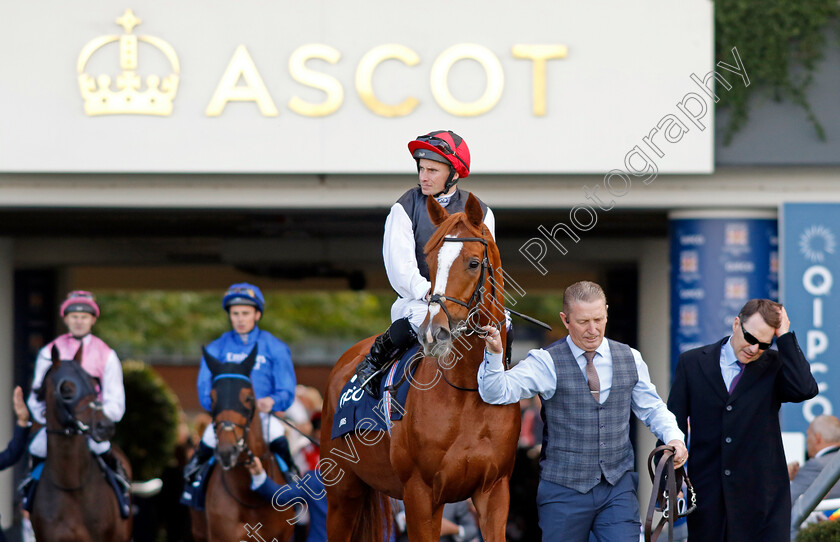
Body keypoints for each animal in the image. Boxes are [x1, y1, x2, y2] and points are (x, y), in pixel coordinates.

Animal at [322, 196, 520, 542]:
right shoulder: (420, 493)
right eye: (430, 258)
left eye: (473, 263)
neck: (468, 392)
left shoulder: (495, 491)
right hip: (342, 492)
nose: (434, 332)